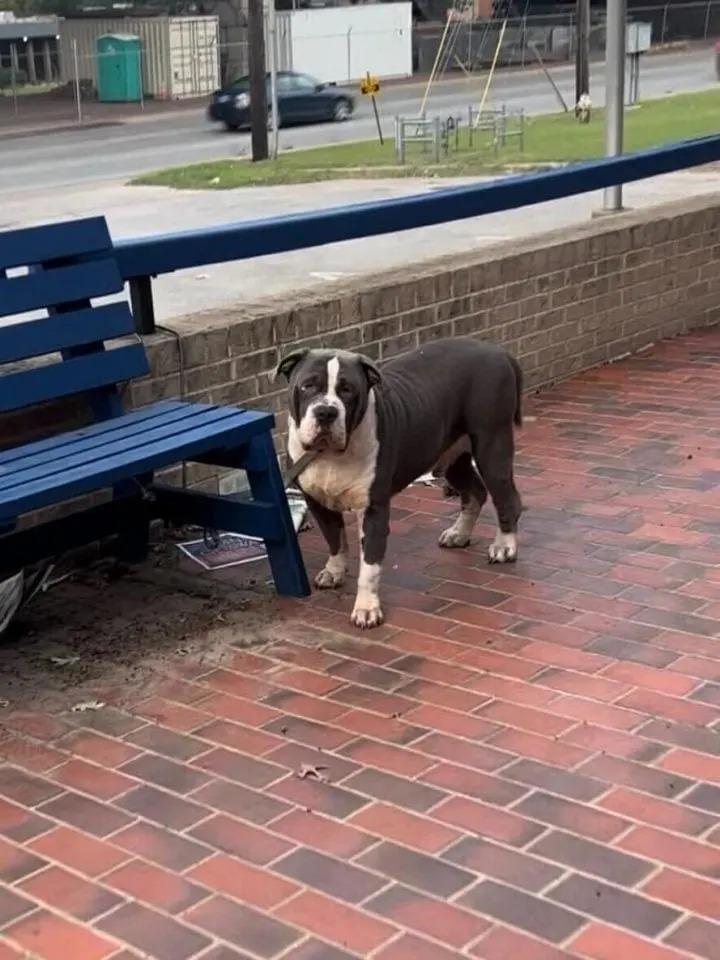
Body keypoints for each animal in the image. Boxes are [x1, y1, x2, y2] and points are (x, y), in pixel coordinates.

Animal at [276, 338, 524, 632]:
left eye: (347, 389)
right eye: (307, 385)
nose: (326, 411)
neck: (330, 456)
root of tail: (498, 351)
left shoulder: (373, 510)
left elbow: (369, 567)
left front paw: (367, 609)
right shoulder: (316, 502)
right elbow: (334, 538)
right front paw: (334, 571)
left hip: (492, 446)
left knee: (506, 498)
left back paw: (504, 546)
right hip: (451, 458)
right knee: (475, 491)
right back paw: (458, 533)